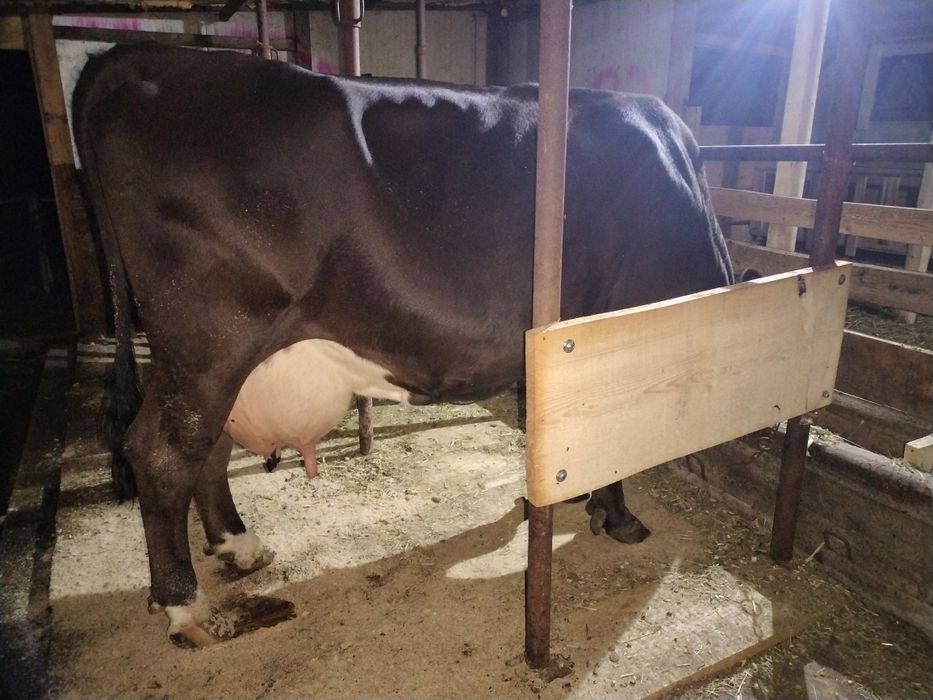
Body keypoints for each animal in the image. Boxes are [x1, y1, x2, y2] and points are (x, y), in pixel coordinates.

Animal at [73, 42, 733, 646]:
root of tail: (146, 56)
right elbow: (615, 441)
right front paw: (616, 515)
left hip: (215, 357)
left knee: (204, 446)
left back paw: (239, 546)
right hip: (211, 340)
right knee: (163, 453)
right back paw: (186, 606)